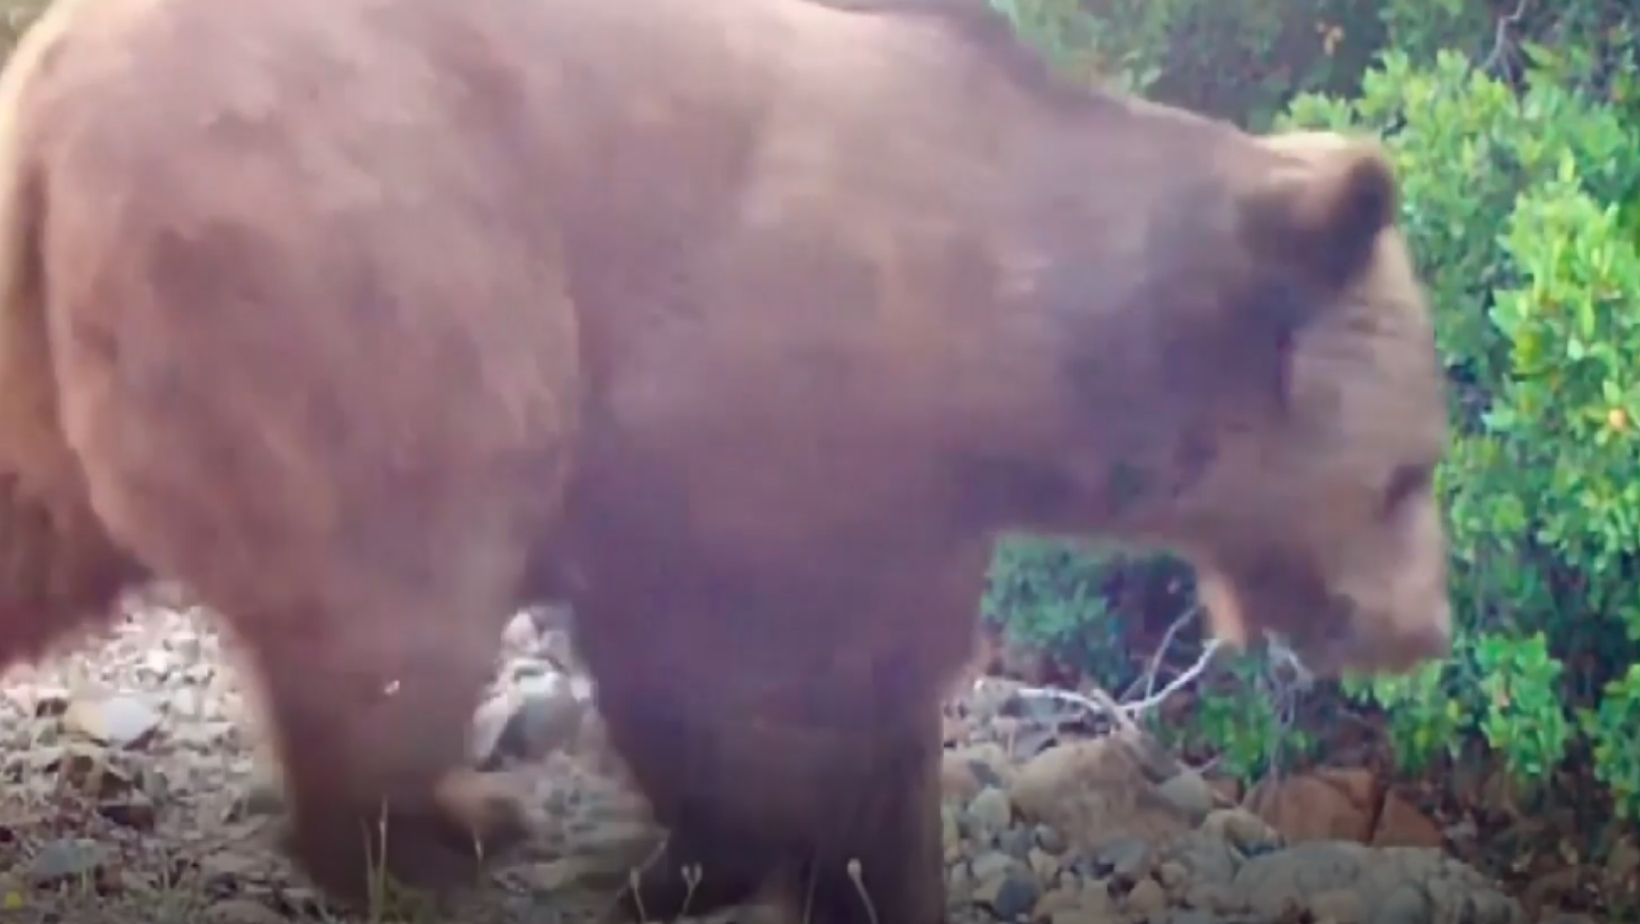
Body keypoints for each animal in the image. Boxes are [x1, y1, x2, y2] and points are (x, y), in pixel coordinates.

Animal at [0, 0, 1456, 919]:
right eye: (1409, 473)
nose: (1423, 628)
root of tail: (54, 95)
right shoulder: (745, 402)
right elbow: (721, 671)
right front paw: (699, 859)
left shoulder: (908, 500)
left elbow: (875, 716)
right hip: (369, 272)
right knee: (396, 592)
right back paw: (441, 833)